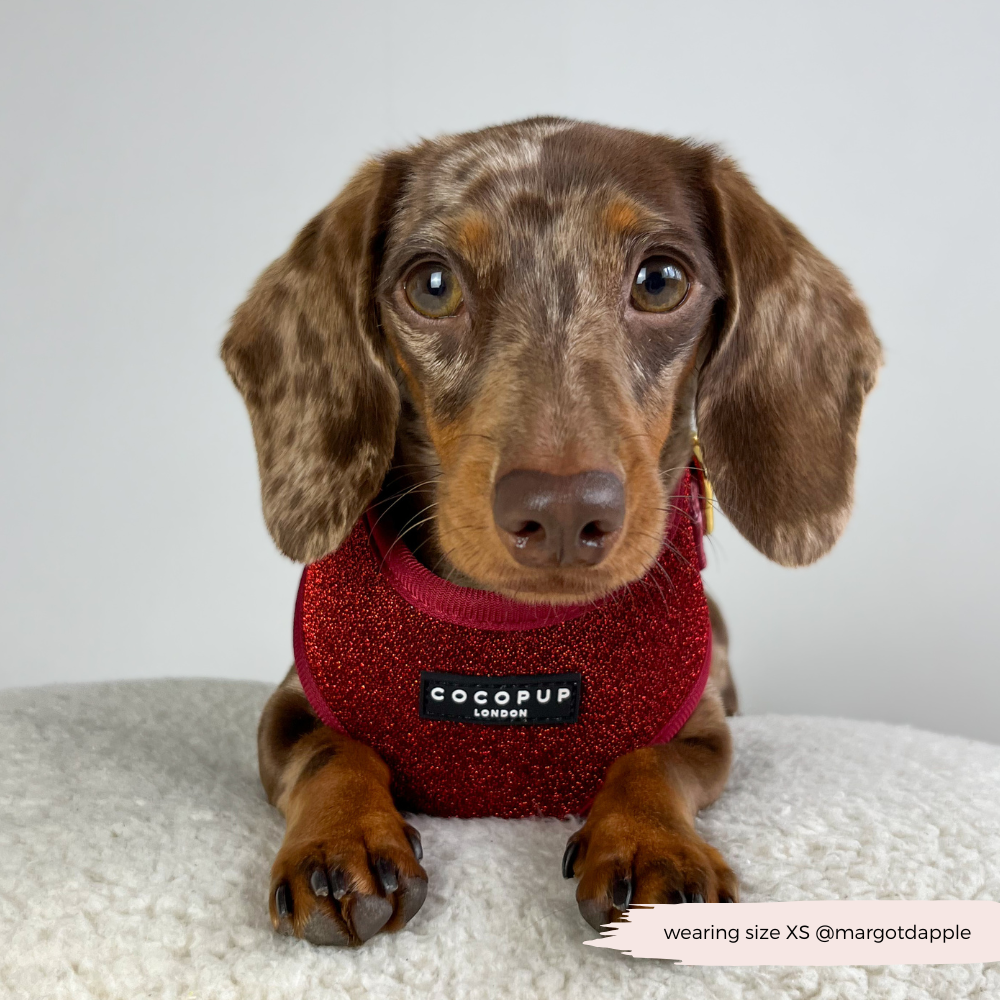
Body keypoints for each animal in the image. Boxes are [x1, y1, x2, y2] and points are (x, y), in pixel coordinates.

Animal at [221, 117, 884, 944]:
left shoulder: (702, 730)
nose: (564, 512)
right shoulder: (287, 712)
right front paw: (341, 840)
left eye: (660, 280)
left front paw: (652, 842)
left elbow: (649, 759)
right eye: (432, 285)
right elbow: (331, 751)